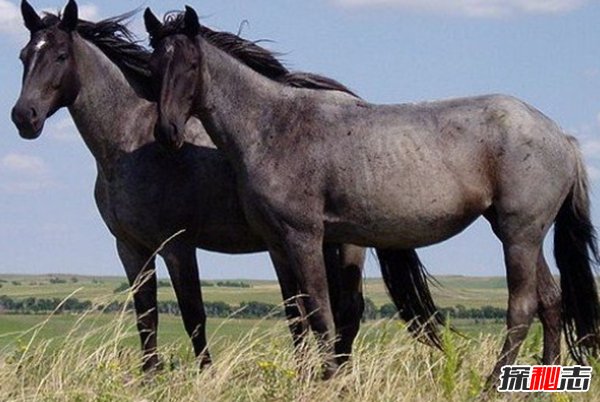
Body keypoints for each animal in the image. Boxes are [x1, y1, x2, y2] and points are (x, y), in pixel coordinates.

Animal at [11, 0, 370, 374]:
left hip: (347, 244)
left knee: (347, 311)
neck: (130, 143)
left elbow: (193, 314)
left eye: (61, 56)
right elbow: (146, 317)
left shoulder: (177, 246)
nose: (24, 116)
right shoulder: (131, 248)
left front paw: (205, 373)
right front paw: (149, 375)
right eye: (24, 56)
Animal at [145, 5, 600, 384]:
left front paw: (328, 379)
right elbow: (296, 315)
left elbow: (320, 312)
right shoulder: (276, 244)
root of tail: (559, 135)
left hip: (518, 236)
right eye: (153, 66)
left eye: (191, 64)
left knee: (522, 307)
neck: (273, 127)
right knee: (551, 302)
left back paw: (492, 384)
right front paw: (304, 378)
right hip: (523, 234)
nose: (167, 133)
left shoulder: (305, 238)